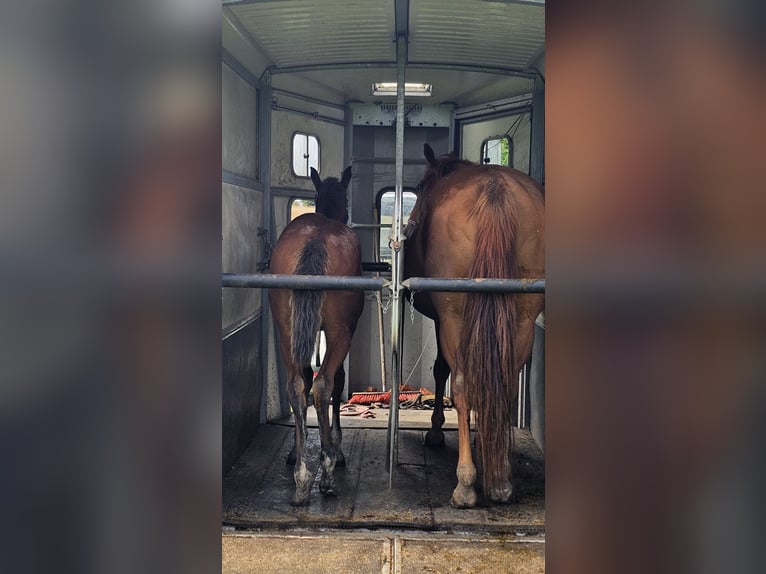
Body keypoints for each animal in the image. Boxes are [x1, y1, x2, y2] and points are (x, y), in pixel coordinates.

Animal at [268, 166, 364, 506]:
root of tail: (315, 239)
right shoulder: (346, 332)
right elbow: (336, 382)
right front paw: (335, 449)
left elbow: (305, 379)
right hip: (338, 334)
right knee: (323, 385)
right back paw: (327, 473)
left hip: (285, 331)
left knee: (297, 385)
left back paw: (302, 475)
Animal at [403, 143, 544, 507]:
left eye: (420, 186)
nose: (409, 228)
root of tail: (495, 190)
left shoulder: (442, 320)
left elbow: (441, 371)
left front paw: (436, 431)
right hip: (523, 317)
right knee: (505, 384)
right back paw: (500, 478)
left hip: (456, 316)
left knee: (463, 384)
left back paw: (466, 482)